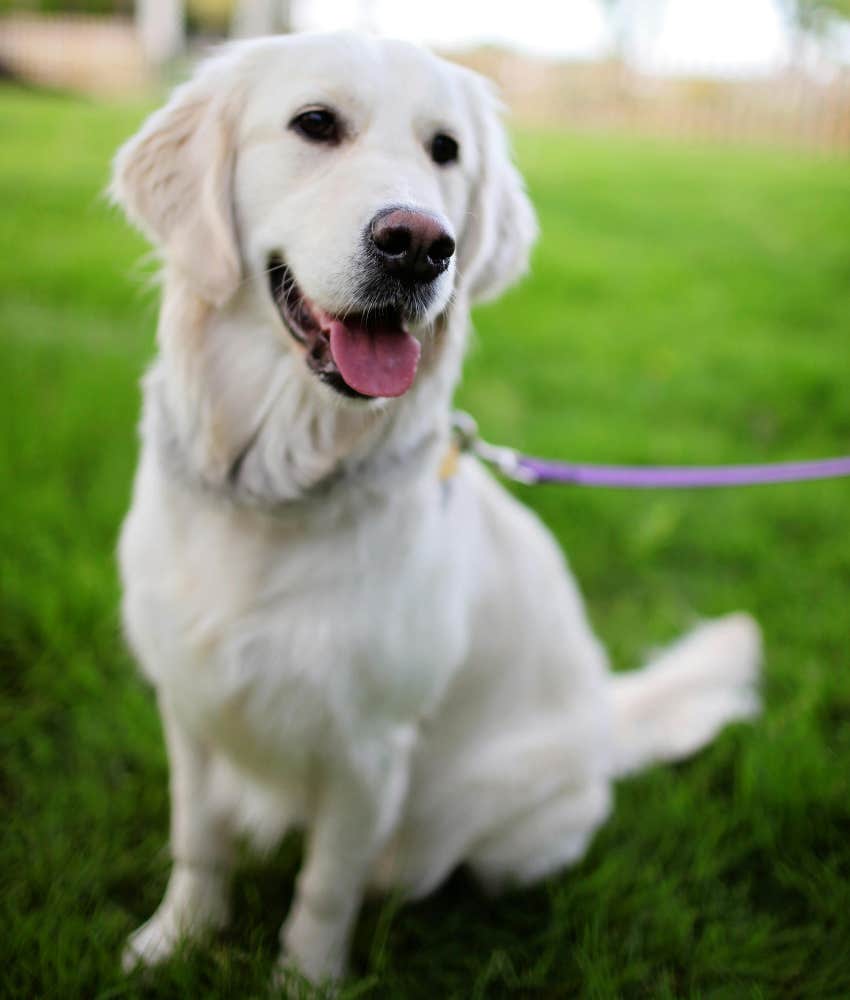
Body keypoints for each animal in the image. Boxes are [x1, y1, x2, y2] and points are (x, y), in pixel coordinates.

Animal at [112, 31, 760, 984]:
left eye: (445, 150)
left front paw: (303, 981)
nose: (419, 244)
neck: (278, 485)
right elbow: (197, 840)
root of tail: (605, 718)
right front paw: (175, 941)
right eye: (315, 123)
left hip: (496, 828)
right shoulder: (186, 702)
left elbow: (324, 889)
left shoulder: (369, 749)